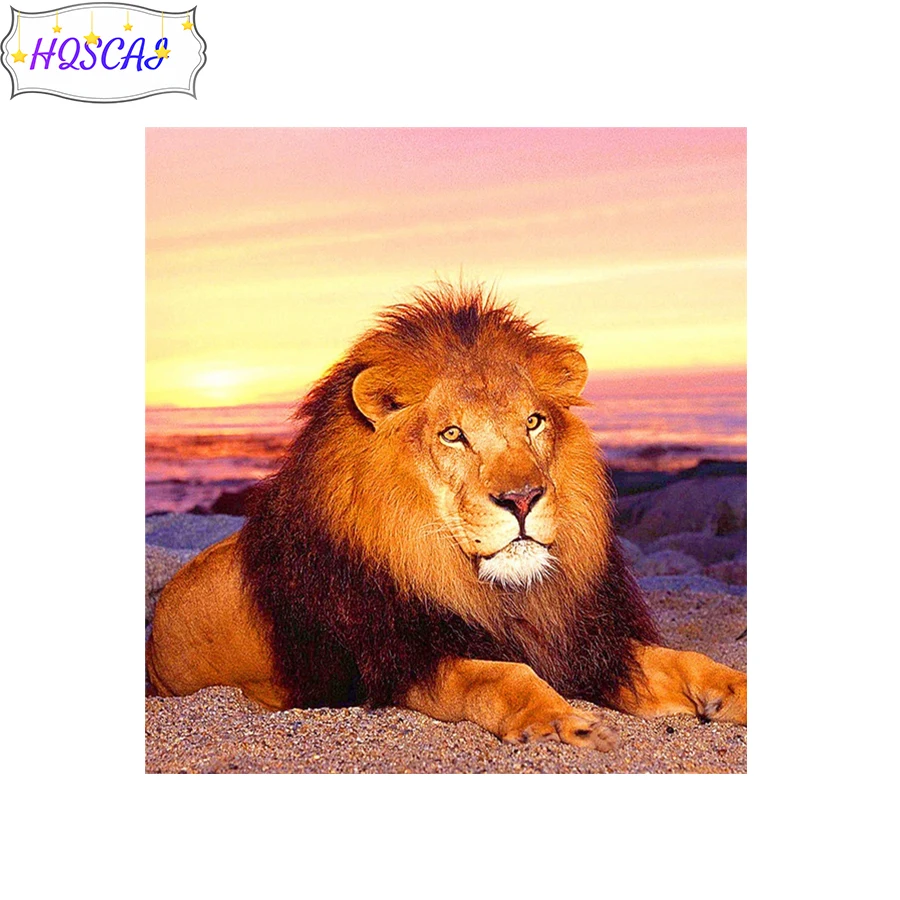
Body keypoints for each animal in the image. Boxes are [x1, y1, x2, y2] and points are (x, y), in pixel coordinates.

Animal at [146, 283, 747, 750]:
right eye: (453, 434)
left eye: (533, 422)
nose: (523, 498)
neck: (498, 591)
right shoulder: (403, 659)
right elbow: (501, 677)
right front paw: (563, 723)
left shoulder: (586, 644)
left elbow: (689, 660)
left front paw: (736, 690)